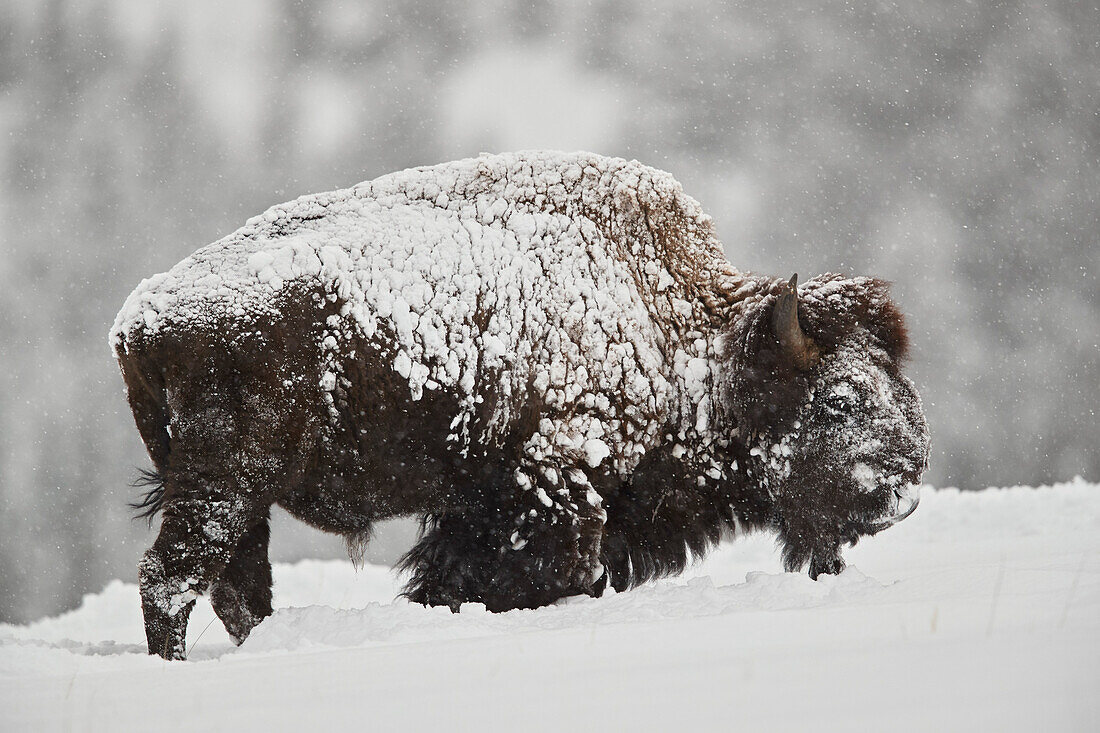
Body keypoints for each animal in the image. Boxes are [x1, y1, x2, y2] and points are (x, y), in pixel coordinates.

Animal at [109, 149, 928, 655]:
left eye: (898, 383)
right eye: (837, 402)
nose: (904, 485)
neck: (681, 333)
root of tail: (140, 320)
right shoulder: (549, 495)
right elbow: (523, 577)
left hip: (239, 498)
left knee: (233, 589)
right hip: (225, 484)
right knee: (172, 580)